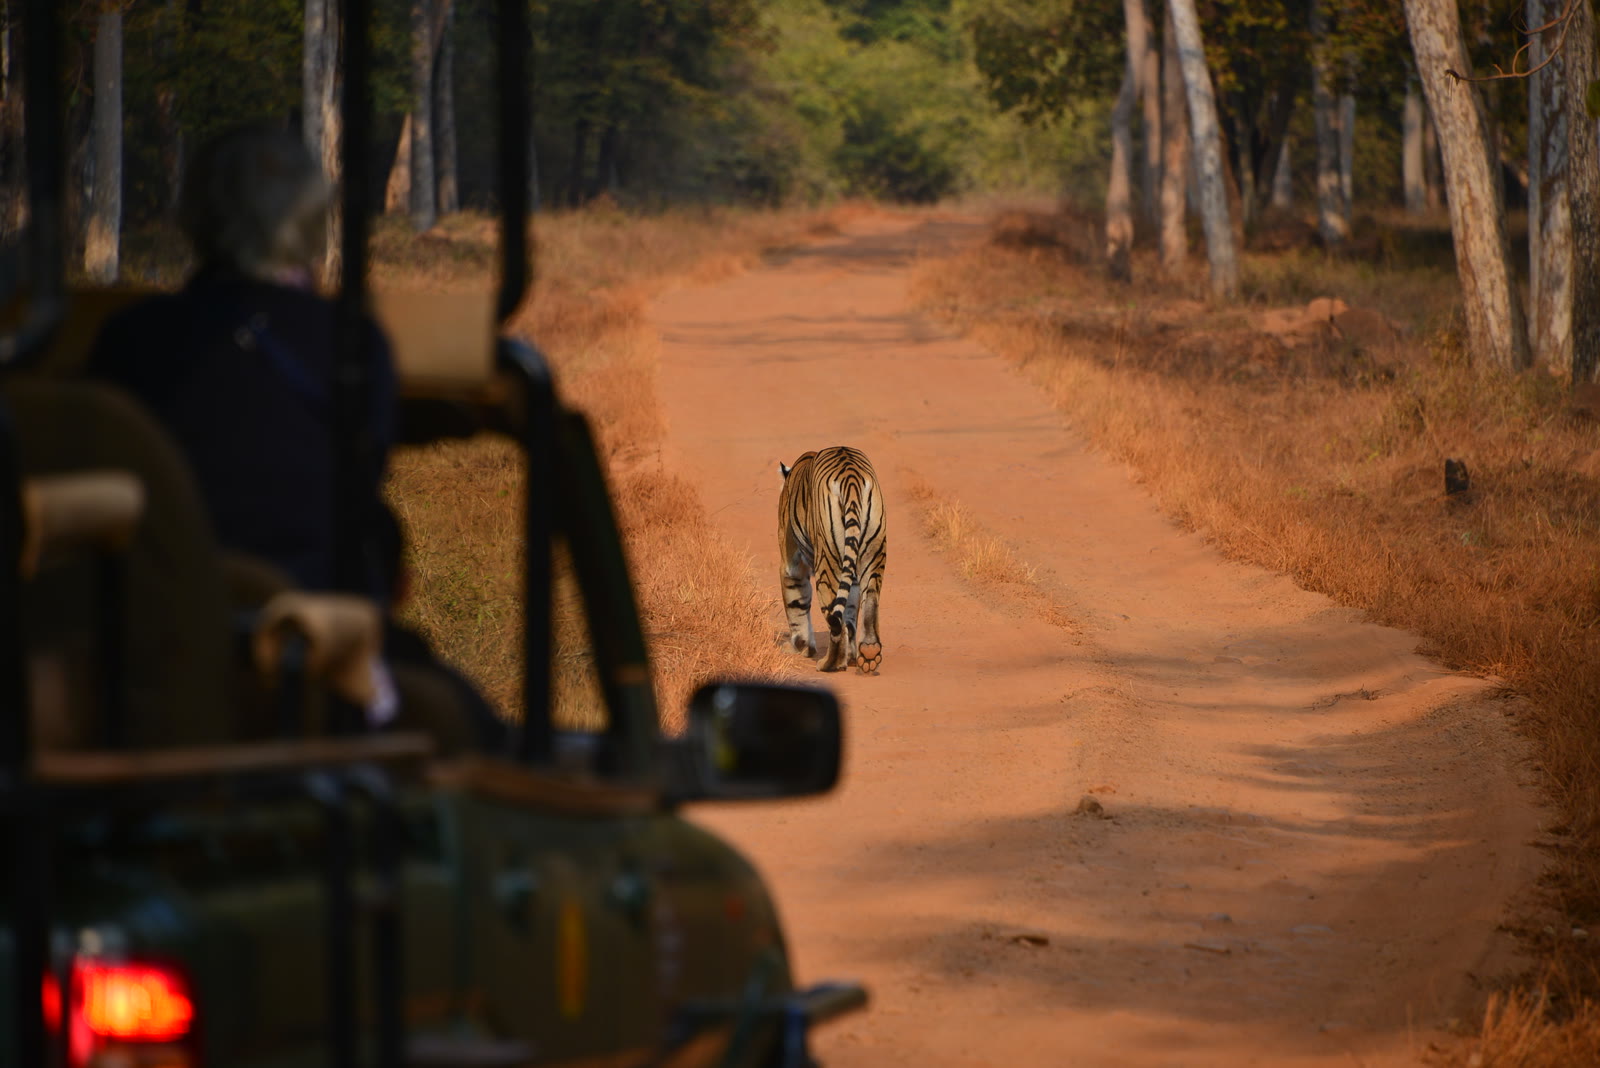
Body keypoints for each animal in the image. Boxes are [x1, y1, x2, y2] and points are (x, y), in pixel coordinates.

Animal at [777, 446, 887, 675]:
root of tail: (851, 477)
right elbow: (851, 611)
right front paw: (853, 655)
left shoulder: (791, 564)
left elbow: (795, 605)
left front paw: (800, 647)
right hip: (874, 552)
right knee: (870, 602)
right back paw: (869, 653)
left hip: (826, 564)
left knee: (835, 621)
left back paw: (829, 663)